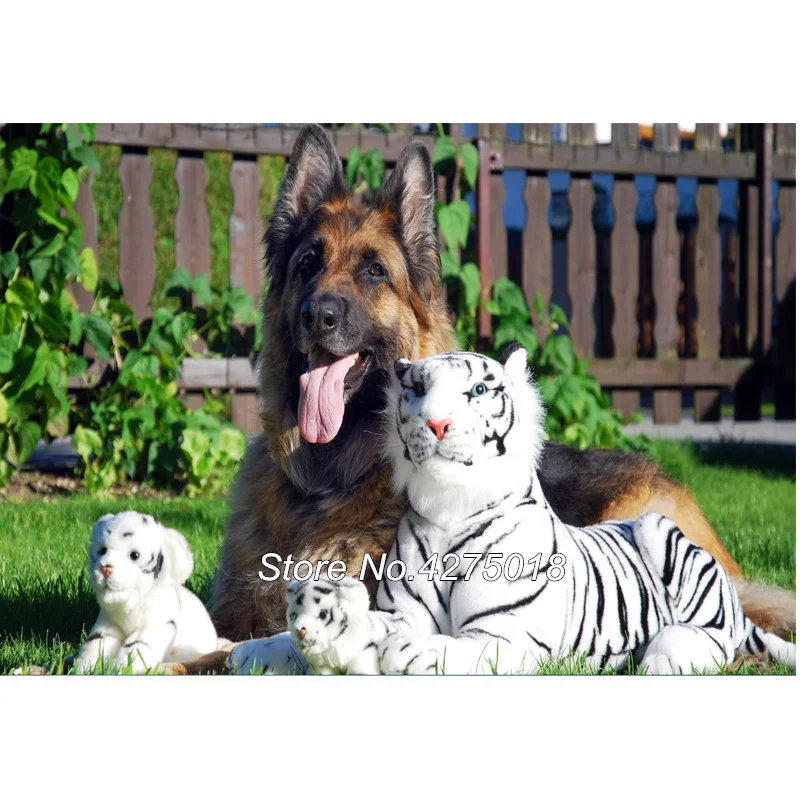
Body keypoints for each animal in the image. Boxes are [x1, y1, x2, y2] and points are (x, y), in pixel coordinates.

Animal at [281, 345, 796, 675]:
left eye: (478, 391)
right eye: (417, 389)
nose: (437, 423)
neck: (449, 511)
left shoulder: (507, 638)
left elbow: (446, 647)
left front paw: (405, 650)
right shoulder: (399, 608)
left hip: (658, 531)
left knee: (715, 636)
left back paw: (664, 655)